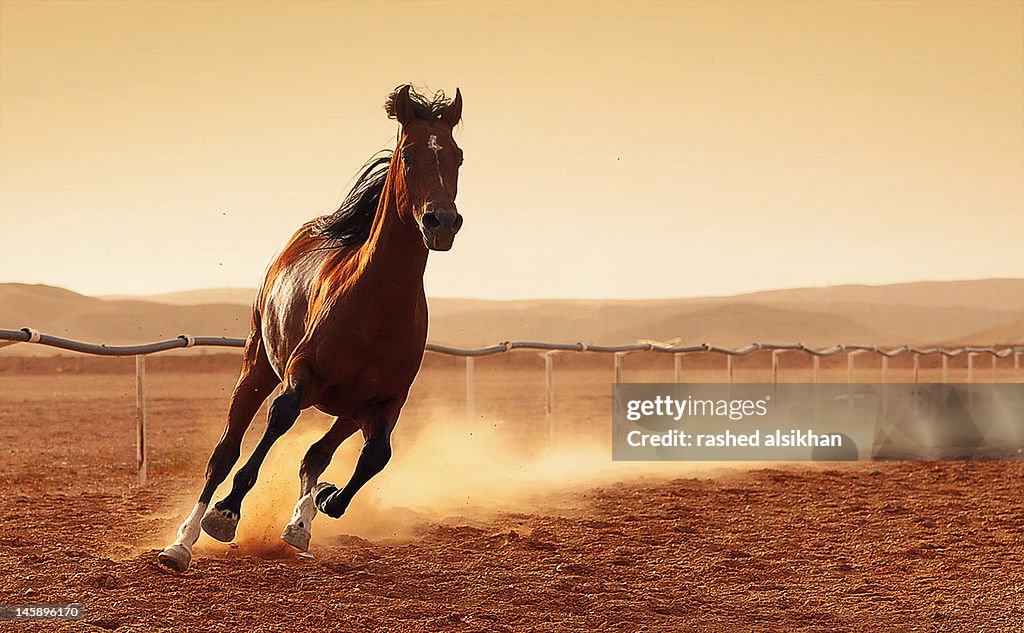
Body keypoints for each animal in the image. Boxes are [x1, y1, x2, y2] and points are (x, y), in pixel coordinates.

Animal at [158, 83, 464, 573]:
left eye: (458, 156)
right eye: (410, 154)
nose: (441, 222)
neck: (377, 304)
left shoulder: (383, 402)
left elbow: (373, 457)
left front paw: (323, 501)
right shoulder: (301, 375)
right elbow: (279, 421)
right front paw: (226, 514)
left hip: (345, 409)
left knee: (315, 455)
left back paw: (301, 521)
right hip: (258, 367)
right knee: (224, 453)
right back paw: (181, 543)